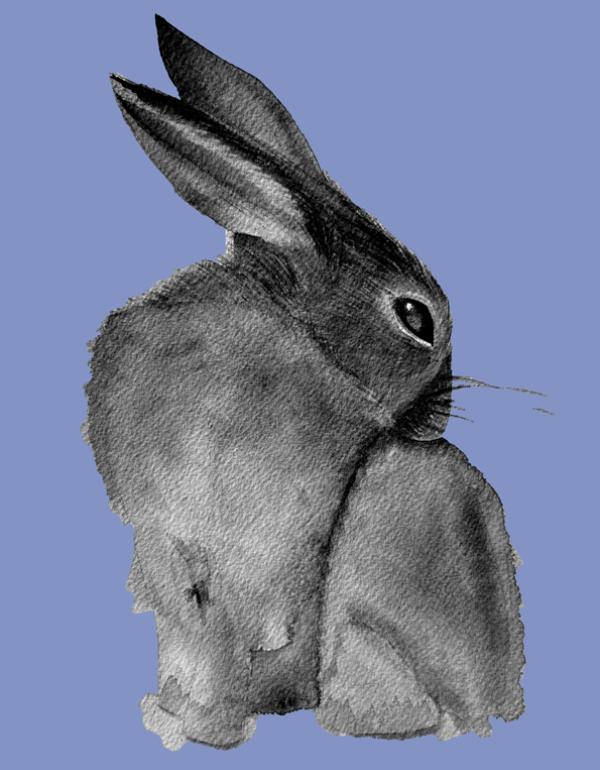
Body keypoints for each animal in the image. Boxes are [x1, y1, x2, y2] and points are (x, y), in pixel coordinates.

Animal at [85, 15, 524, 750]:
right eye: (416, 318)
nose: (435, 419)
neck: (308, 346)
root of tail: (497, 709)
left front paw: (209, 724)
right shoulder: (174, 552)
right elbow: (195, 632)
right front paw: (182, 718)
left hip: (388, 509)